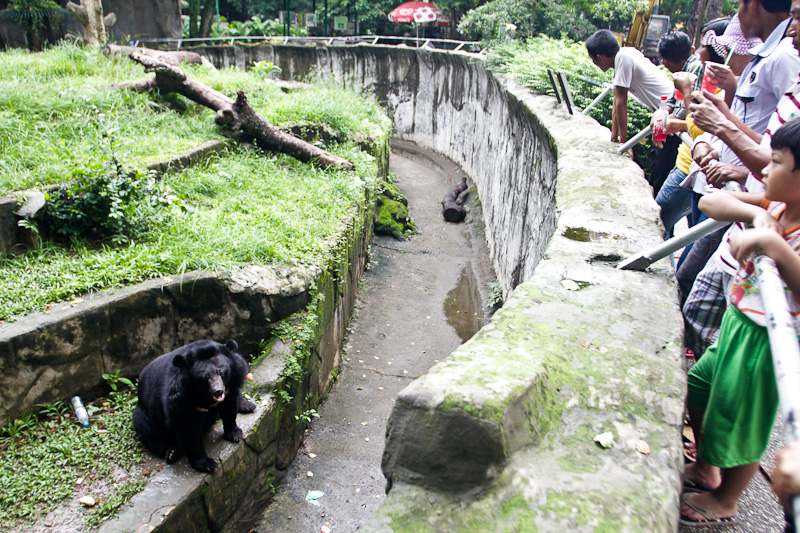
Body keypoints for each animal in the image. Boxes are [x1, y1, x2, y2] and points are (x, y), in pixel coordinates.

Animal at [133, 338, 255, 472]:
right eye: (205, 377)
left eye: (221, 372)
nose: (218, 391)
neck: (205, 396)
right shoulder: (181, 400)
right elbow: (189, 433)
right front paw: (208, 464)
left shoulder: (231, 383)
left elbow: (229, 408)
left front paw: (235, 434)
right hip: (145, 414)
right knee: (150, 434)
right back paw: (172, 453)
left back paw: (247, 405)